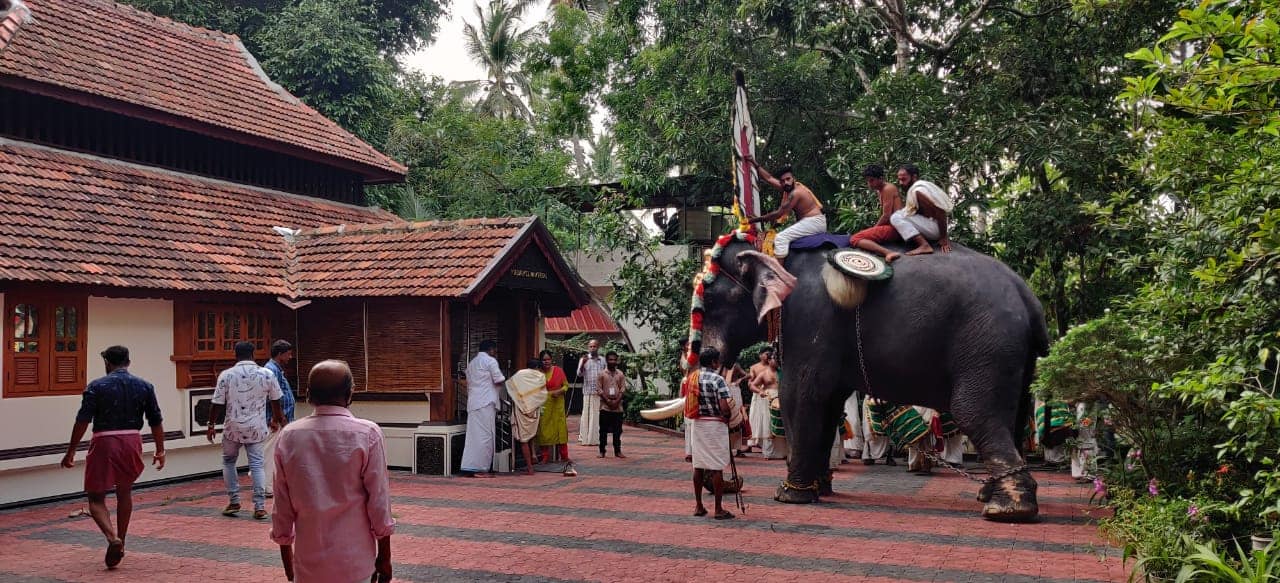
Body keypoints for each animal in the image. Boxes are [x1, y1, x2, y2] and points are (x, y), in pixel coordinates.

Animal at [696, 230, 1044, 522]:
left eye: (709, 299)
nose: (704, 354)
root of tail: (1029, 296)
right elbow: (828, 403)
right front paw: (820, 489)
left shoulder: (809, 319)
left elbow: (800, 393)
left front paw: (789, 495)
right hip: (1014, 356)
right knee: (1014, 416)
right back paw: (990, 493)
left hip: (988, 345)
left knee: (973, 411)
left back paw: (1007, 509)